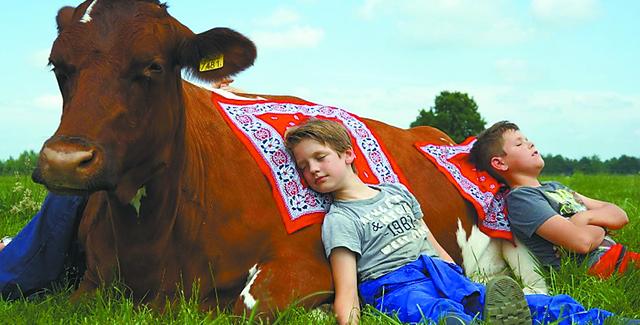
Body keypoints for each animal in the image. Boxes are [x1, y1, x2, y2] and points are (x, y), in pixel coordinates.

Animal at [31, 0, 544, 316]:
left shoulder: (305, 264)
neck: (152, 246)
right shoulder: (89, 286)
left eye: (153, 65)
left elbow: (247, 307)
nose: (64, 160)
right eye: (58, 66)